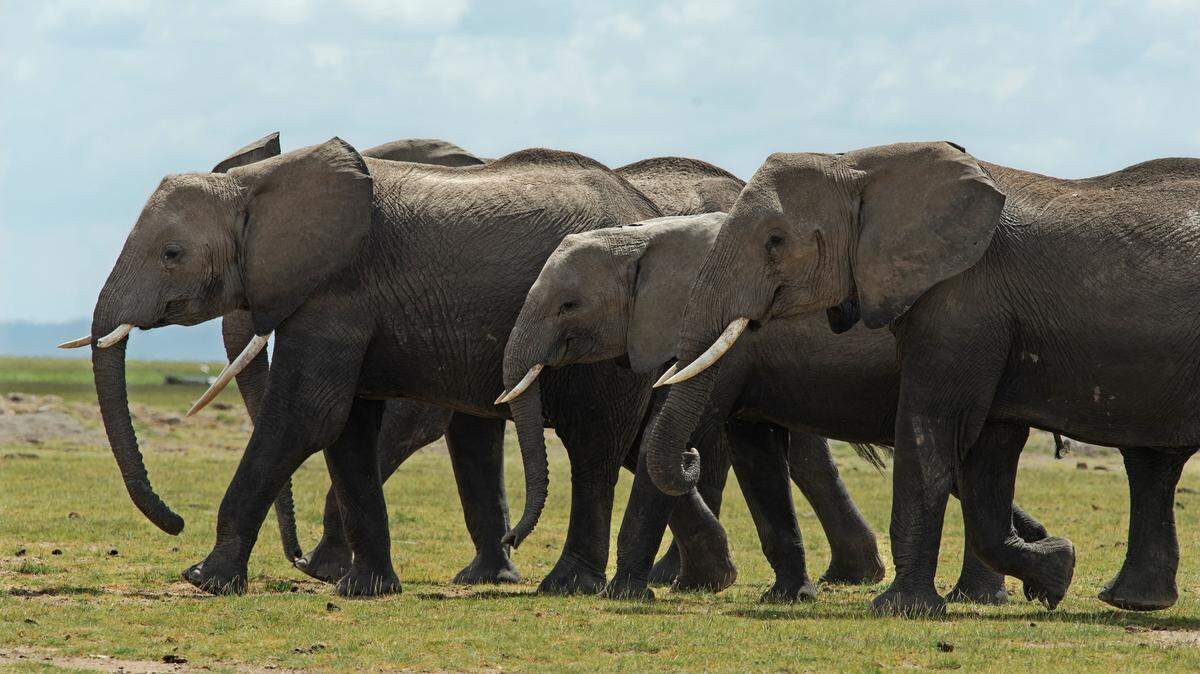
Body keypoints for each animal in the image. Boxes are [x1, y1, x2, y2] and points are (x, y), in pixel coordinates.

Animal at [81, 136, 752, 597]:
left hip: (605, 334)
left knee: (595, 443)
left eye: (172, 254)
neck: (262, 181)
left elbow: (306, 416)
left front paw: (205, 578)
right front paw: (365, 589)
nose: (173, 520)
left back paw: (570, 586)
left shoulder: (339, 293)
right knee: (643, 444)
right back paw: (706, 577)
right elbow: (347, 426)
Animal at [503, 211, 1053, 603]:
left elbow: (677, 430)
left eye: (569, 306)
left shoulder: (727, 342)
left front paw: (624, 596)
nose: (511, 540)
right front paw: (789, 597)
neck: (647, 238)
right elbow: (755, 453)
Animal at [647, 141, 1200, 616]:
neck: (863, 164)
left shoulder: (964, 300)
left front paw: (901, 609)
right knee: (1152, 463)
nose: (692, 457)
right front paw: (1056, 572)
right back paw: (1131, 602)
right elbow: (988, 452)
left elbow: (929, 428)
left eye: (775, 241)